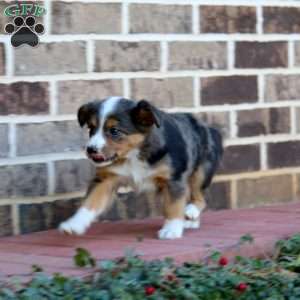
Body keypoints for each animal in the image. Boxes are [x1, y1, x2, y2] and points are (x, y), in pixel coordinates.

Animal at [59, 97, 223, 240]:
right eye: (91, 128)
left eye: (114, 131)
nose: (90, 149)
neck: (133, 154)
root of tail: (208, 127)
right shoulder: (106, 180)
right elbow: (90, 202)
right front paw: (74, 224)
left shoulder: (174, 179)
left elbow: (173, 205)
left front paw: (171, 230)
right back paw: (190, 221)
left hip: (201, 171)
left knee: (199, 197)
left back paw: (190, 212)